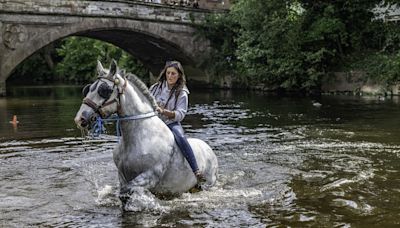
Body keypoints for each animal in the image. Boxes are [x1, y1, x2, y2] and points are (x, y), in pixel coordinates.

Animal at [75, 60, 219, 207]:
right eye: (88, 88)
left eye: (104, 90)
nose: (80, 118)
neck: (139, 138)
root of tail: (208, 149)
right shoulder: (122, 175)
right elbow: (123, 194)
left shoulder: (150, 176)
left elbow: (127, 190)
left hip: (209, 183)